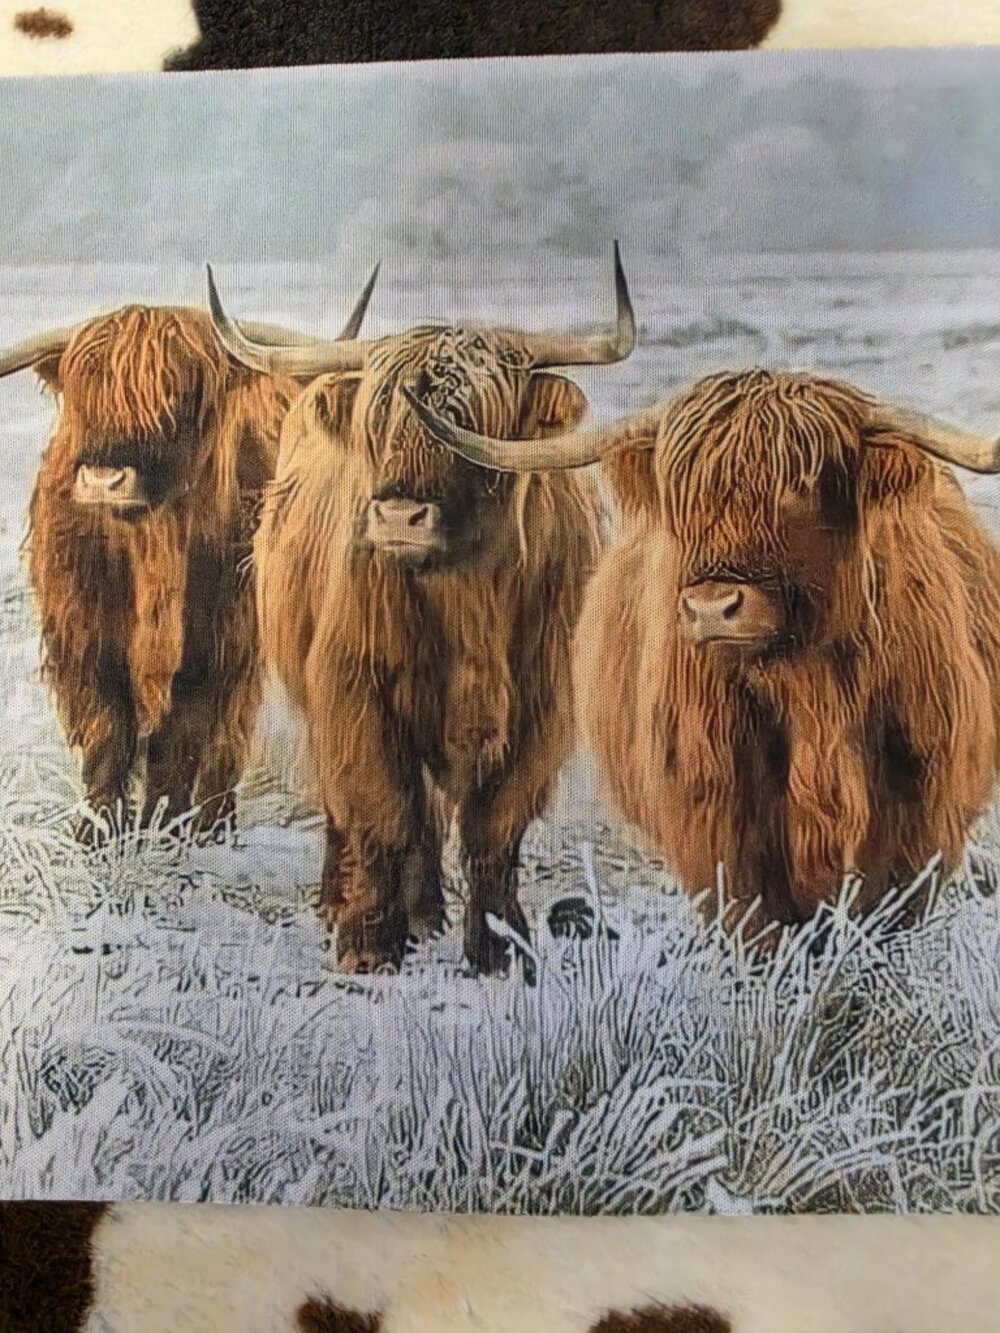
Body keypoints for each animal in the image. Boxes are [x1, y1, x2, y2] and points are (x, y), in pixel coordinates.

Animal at [0, 274, 376, 842]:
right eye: (83, 389)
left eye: (181, 390)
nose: (104, 480)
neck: (154, 546)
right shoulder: (83, 638)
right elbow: (107, 732)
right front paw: (98, 833)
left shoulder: (216, 643)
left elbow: (181, 741)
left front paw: (166, 829)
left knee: (227, 741)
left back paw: (215, 825)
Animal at [205, 246, 635, 974]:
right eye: (377, 423)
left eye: (472, 424)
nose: (399, 516)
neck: (467, 597)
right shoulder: (354, 690)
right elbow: (381, 812)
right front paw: (367, 945)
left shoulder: (541, 709)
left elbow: (494, 830)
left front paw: (500, 949)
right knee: (362, 809)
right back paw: (350, 905)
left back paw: (429, 914)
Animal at [407, 367, 1000, 938]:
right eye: (682, 498)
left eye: (802, 488)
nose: (712, 607)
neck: (810, 696)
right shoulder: (718, 832)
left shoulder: (919, 827)